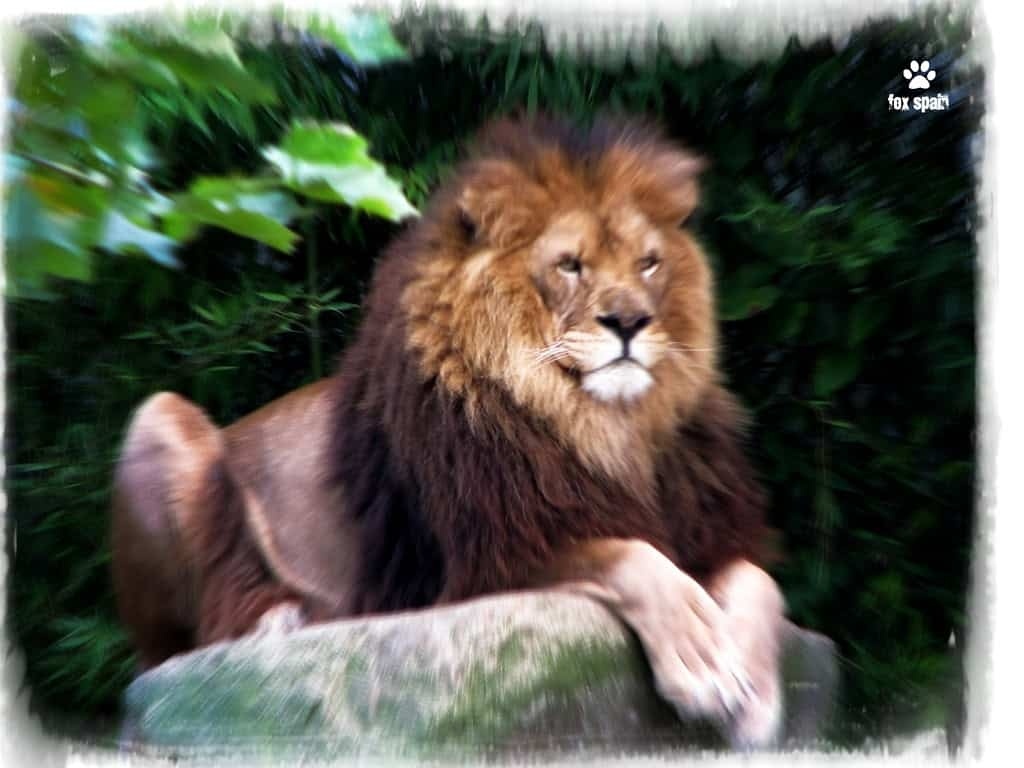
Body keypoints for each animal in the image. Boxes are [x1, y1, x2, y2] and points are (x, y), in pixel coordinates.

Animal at [111, 115, 787, 749]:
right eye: (570, 265)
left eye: (649, 263)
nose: (630, 321)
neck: (605, 426)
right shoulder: (478, 565)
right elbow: (629, 557)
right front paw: (702, 661)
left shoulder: (704, 528)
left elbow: (760, 582)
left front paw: (755, 696)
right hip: (159, 417)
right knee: (173, 650)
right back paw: (278, 620)